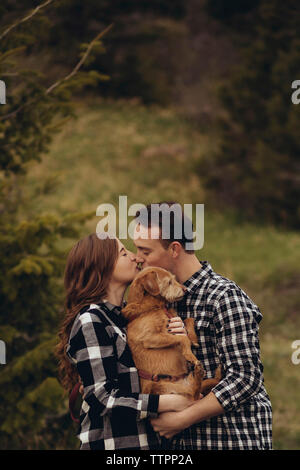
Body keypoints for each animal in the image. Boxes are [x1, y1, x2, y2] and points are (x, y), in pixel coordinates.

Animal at [120, 268, 221, 400]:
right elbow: (182, 339)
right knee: (194, 394)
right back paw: (199, 371)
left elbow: (188, 320)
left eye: (174, 278)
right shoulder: (149, 337)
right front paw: (189, 354)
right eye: (169, 282)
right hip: (166, 388)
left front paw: (193, 340)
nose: (185, 290)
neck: (155, 306)